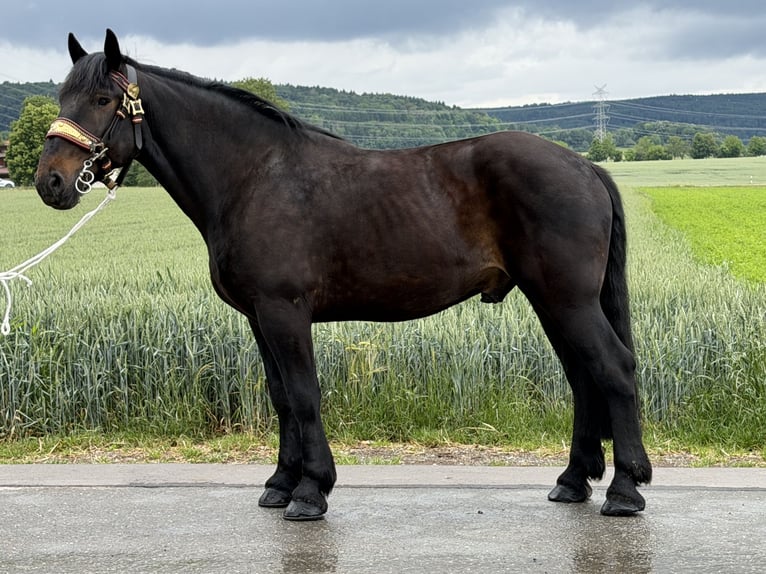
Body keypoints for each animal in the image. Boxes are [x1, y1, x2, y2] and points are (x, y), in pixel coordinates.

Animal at [35, 30, 651, 521]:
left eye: (103, 98)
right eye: (62, 96)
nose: (51, 182)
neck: (252, 177)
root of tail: (585, 166)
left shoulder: (284, 311)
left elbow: (305, 394)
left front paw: (312, 491)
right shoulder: (259, 317)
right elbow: (281, 397)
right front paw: (280, 485)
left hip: (567, 300)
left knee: (615, 369)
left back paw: (625, 489)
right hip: (554, 302)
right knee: (583, 378)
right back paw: (573, 482)